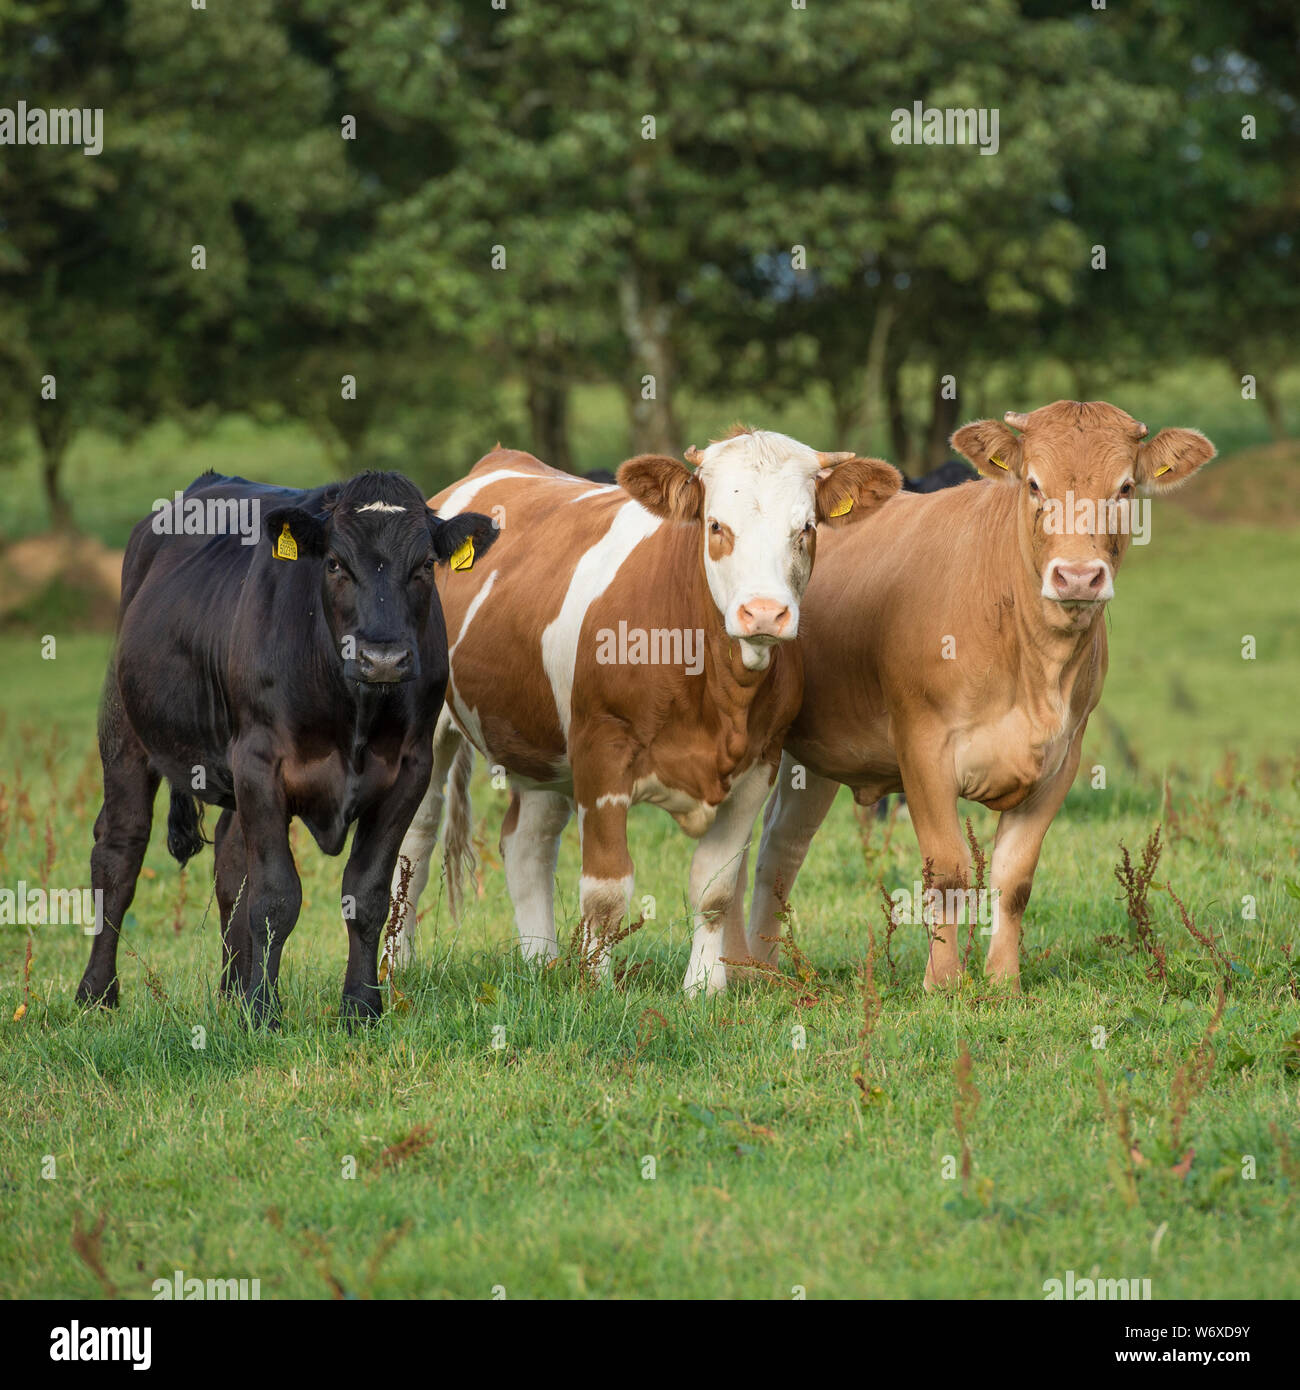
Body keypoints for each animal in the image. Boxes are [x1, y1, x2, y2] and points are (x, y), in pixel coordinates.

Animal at [76, 472, 494, 1028]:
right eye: (335, 563)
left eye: (426, 564)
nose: (382, 657)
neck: (353, 708)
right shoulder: (260, 764)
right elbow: (275, 896)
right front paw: (263, 1013)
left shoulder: (409, 772)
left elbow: (366, 895)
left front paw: (360, 1007)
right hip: (124, 730)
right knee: (119, 854)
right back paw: (97, 993)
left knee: (230, 863)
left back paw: (231, 989)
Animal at [383, 430, 906, 989]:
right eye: (716, 525)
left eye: (805, 528)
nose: (764, 612)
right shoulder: (602, 753)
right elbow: (607, 890)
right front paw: (596, 987)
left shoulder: (759, 765)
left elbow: (715, 888)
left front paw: (704, 988)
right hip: (427, 728)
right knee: (415, 838)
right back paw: (396, 965)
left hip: (543, 743)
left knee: (527, 843)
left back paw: (540, 962)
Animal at [745, 400, 1212, 989]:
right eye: (1033, 483)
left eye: (1125, 487)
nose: (1078, 576)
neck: (1031, 662)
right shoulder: (922, 750)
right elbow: (947, 873)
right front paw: (942, 981)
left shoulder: (1061, 759)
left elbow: (1014, 880)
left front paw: (1002, 981)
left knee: (780, 846)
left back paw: (761, 968)